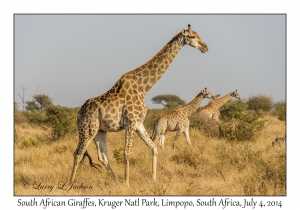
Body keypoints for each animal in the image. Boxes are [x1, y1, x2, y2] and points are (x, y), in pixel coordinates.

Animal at [69, 24, 209, 185]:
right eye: (192, 36)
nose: (205, 47)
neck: (143, 89)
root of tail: (78, 113)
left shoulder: (139, 124)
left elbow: (154, 148)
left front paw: (154, 179)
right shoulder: (130, 123)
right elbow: (127, 154)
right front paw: (127, 183)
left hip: (100, 131)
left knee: (102, 157)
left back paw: (115, 182)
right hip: (87, 129)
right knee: (78, 153)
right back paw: (70, 184)